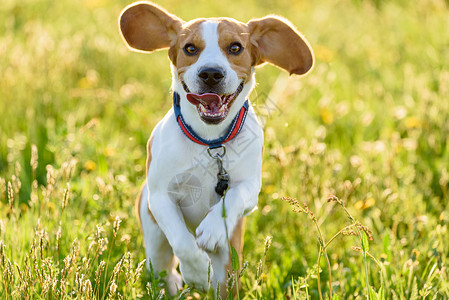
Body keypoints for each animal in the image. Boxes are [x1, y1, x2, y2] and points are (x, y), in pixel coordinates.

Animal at [119, 1, 314, 298]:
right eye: (190, 48)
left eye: (235, 47)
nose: (211, 73)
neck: (210, 142)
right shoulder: (160, 196)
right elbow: (182, 240)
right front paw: (198, 271)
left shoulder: (250, 188)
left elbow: (232, 197)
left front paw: (211, 229)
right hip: (153, 240)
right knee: (162, 266)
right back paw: (176, 282)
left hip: (229, 267)